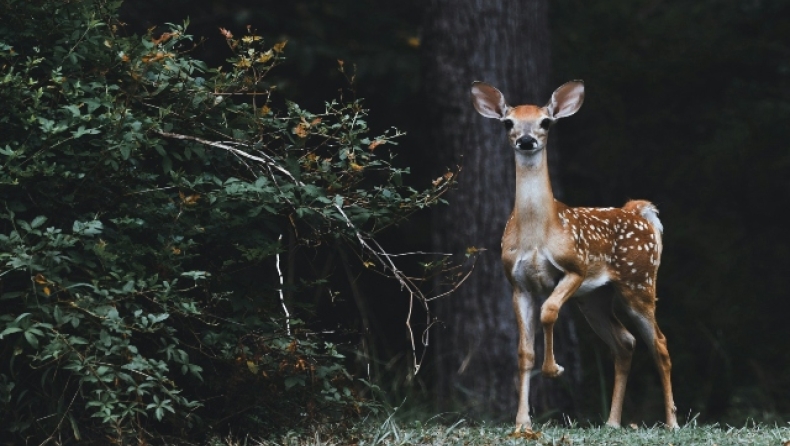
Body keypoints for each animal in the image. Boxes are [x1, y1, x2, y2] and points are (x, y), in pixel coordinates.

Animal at [470, 81, 680, 432]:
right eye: (508, 123)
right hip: (595, 298)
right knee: (624, 342)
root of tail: (639, 212)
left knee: (660, 344)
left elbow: (550, 312)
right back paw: (612, 422)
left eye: (545, 122)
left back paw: (672, 423)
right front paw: (522, 423)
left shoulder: (575, 267)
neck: (537, 234)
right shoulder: (517, 283)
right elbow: (524, 352)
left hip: (639, 282)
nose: (526, 140)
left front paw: (554, 369)